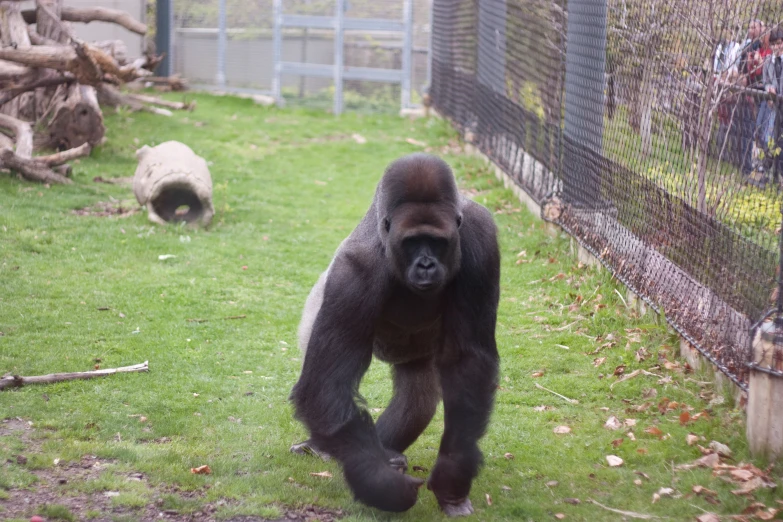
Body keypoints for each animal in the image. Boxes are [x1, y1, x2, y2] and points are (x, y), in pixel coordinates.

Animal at [290, 152, 502, 512]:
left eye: (437, 242)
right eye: (412, 242)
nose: (426, 265)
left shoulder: (481, 238)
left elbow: (468, 358)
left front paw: (453, 473)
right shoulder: (352, 274)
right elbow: (325, 386)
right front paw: (381, 484)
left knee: (418, 397)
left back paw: (388, 450)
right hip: (315, 304)